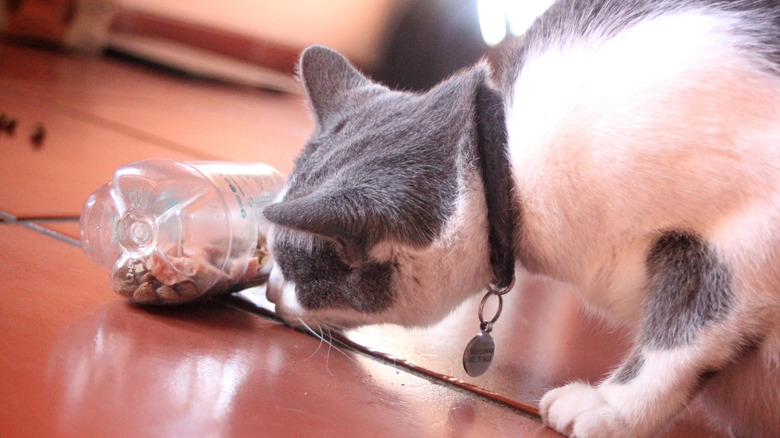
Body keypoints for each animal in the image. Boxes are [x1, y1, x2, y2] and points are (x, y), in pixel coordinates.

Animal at [260, 1, 780, 436]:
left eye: (297, 269)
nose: (267, 288)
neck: (510, 164)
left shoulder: (746, 236)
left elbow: (681, 337)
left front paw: (611, 409)